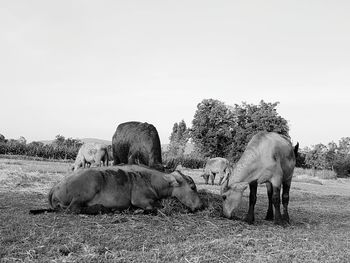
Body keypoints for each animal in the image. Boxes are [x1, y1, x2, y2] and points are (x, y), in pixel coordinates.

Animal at [32, 166, 205, 216]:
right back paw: (101, 208)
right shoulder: (141, 199)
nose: (201, 206)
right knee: (73, 209)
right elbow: (156, 207)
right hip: (85, 192)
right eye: (192, 187)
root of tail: (56, 185)